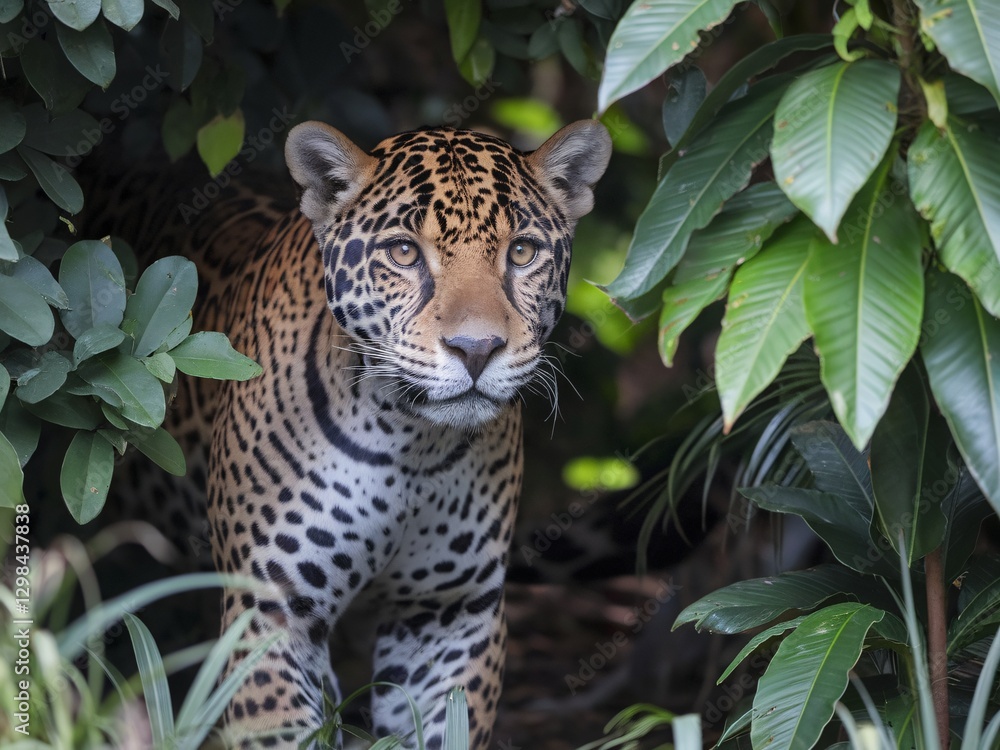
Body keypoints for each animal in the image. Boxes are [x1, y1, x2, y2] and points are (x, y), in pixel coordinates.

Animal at [98, 119, 611, 748]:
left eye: (522, 252)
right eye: (403, 252)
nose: (477, 349)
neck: (409, 437)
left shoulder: (449, 615)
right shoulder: (271, 611)